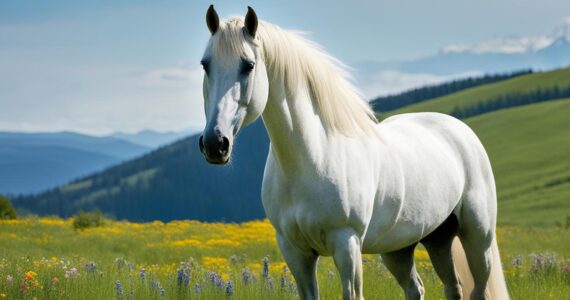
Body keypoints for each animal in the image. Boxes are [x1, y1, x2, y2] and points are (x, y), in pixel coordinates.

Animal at [199, 5, 506, 300]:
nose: (215, 143)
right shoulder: (295, 251)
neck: (314, 157)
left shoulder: (346, 244)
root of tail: (460, 130)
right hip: (418, 243)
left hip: (477, 238)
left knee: (478, 289)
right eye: (205, 65)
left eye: (248, 65)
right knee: (430, 288)